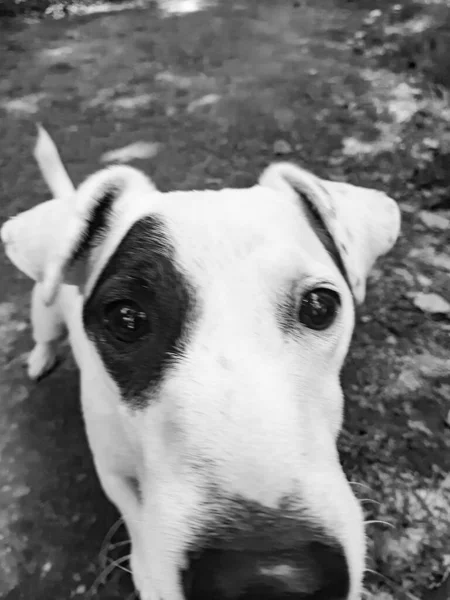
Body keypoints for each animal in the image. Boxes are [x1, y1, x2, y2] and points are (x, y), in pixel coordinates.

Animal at [0, 127, 400, 600]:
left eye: (321, 305)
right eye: (126, 317)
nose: (268, 578)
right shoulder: (112, 468)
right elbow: (137, 519)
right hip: (43, 309)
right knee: (45, 333)